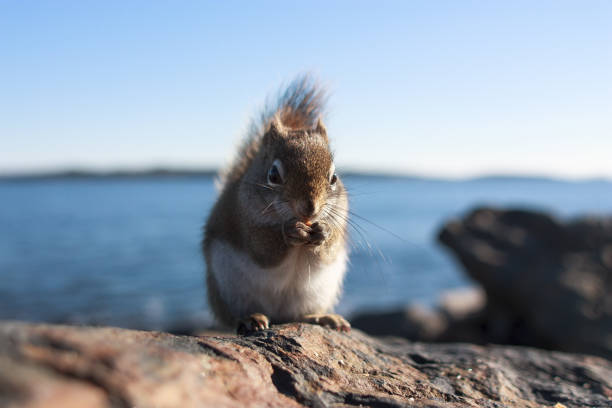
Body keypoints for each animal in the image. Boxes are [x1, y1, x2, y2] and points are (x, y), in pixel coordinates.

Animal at [203, 75, 352, 334]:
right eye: (273, 175)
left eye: (334, 178)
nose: (310, 208)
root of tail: (279, 315)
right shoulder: (245, 222)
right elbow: (263, 249)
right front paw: (290, 231)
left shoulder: (339, 220)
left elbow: (328, 251)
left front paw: (323, 231)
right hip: (227, 290)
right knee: (232, 316)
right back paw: (250, 318)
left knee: (301, 315)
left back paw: (322, 317)